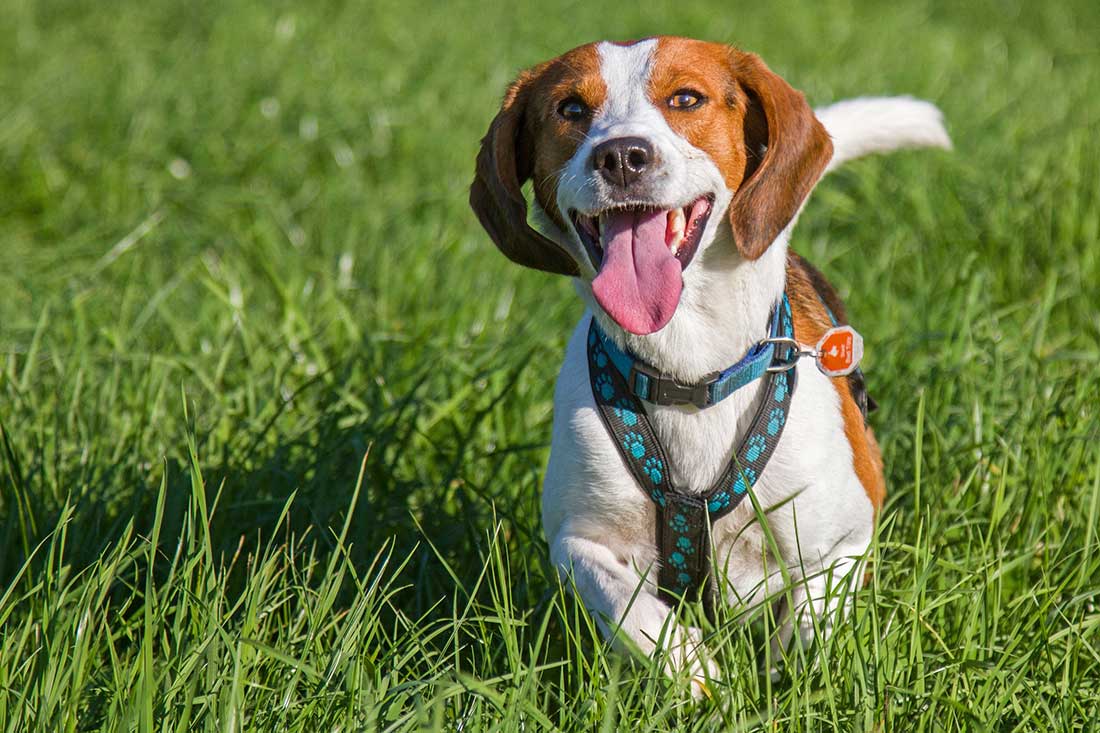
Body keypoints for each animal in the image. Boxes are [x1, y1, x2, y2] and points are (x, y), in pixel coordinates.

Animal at [468, 37, 950, 686]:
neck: (689, 371)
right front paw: (691, 669)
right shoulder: (576, 537)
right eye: (570, 109)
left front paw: (781, 679)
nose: (622, 156)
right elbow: (626, 606)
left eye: (686, 99)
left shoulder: (848, 533)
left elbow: (808, 624)